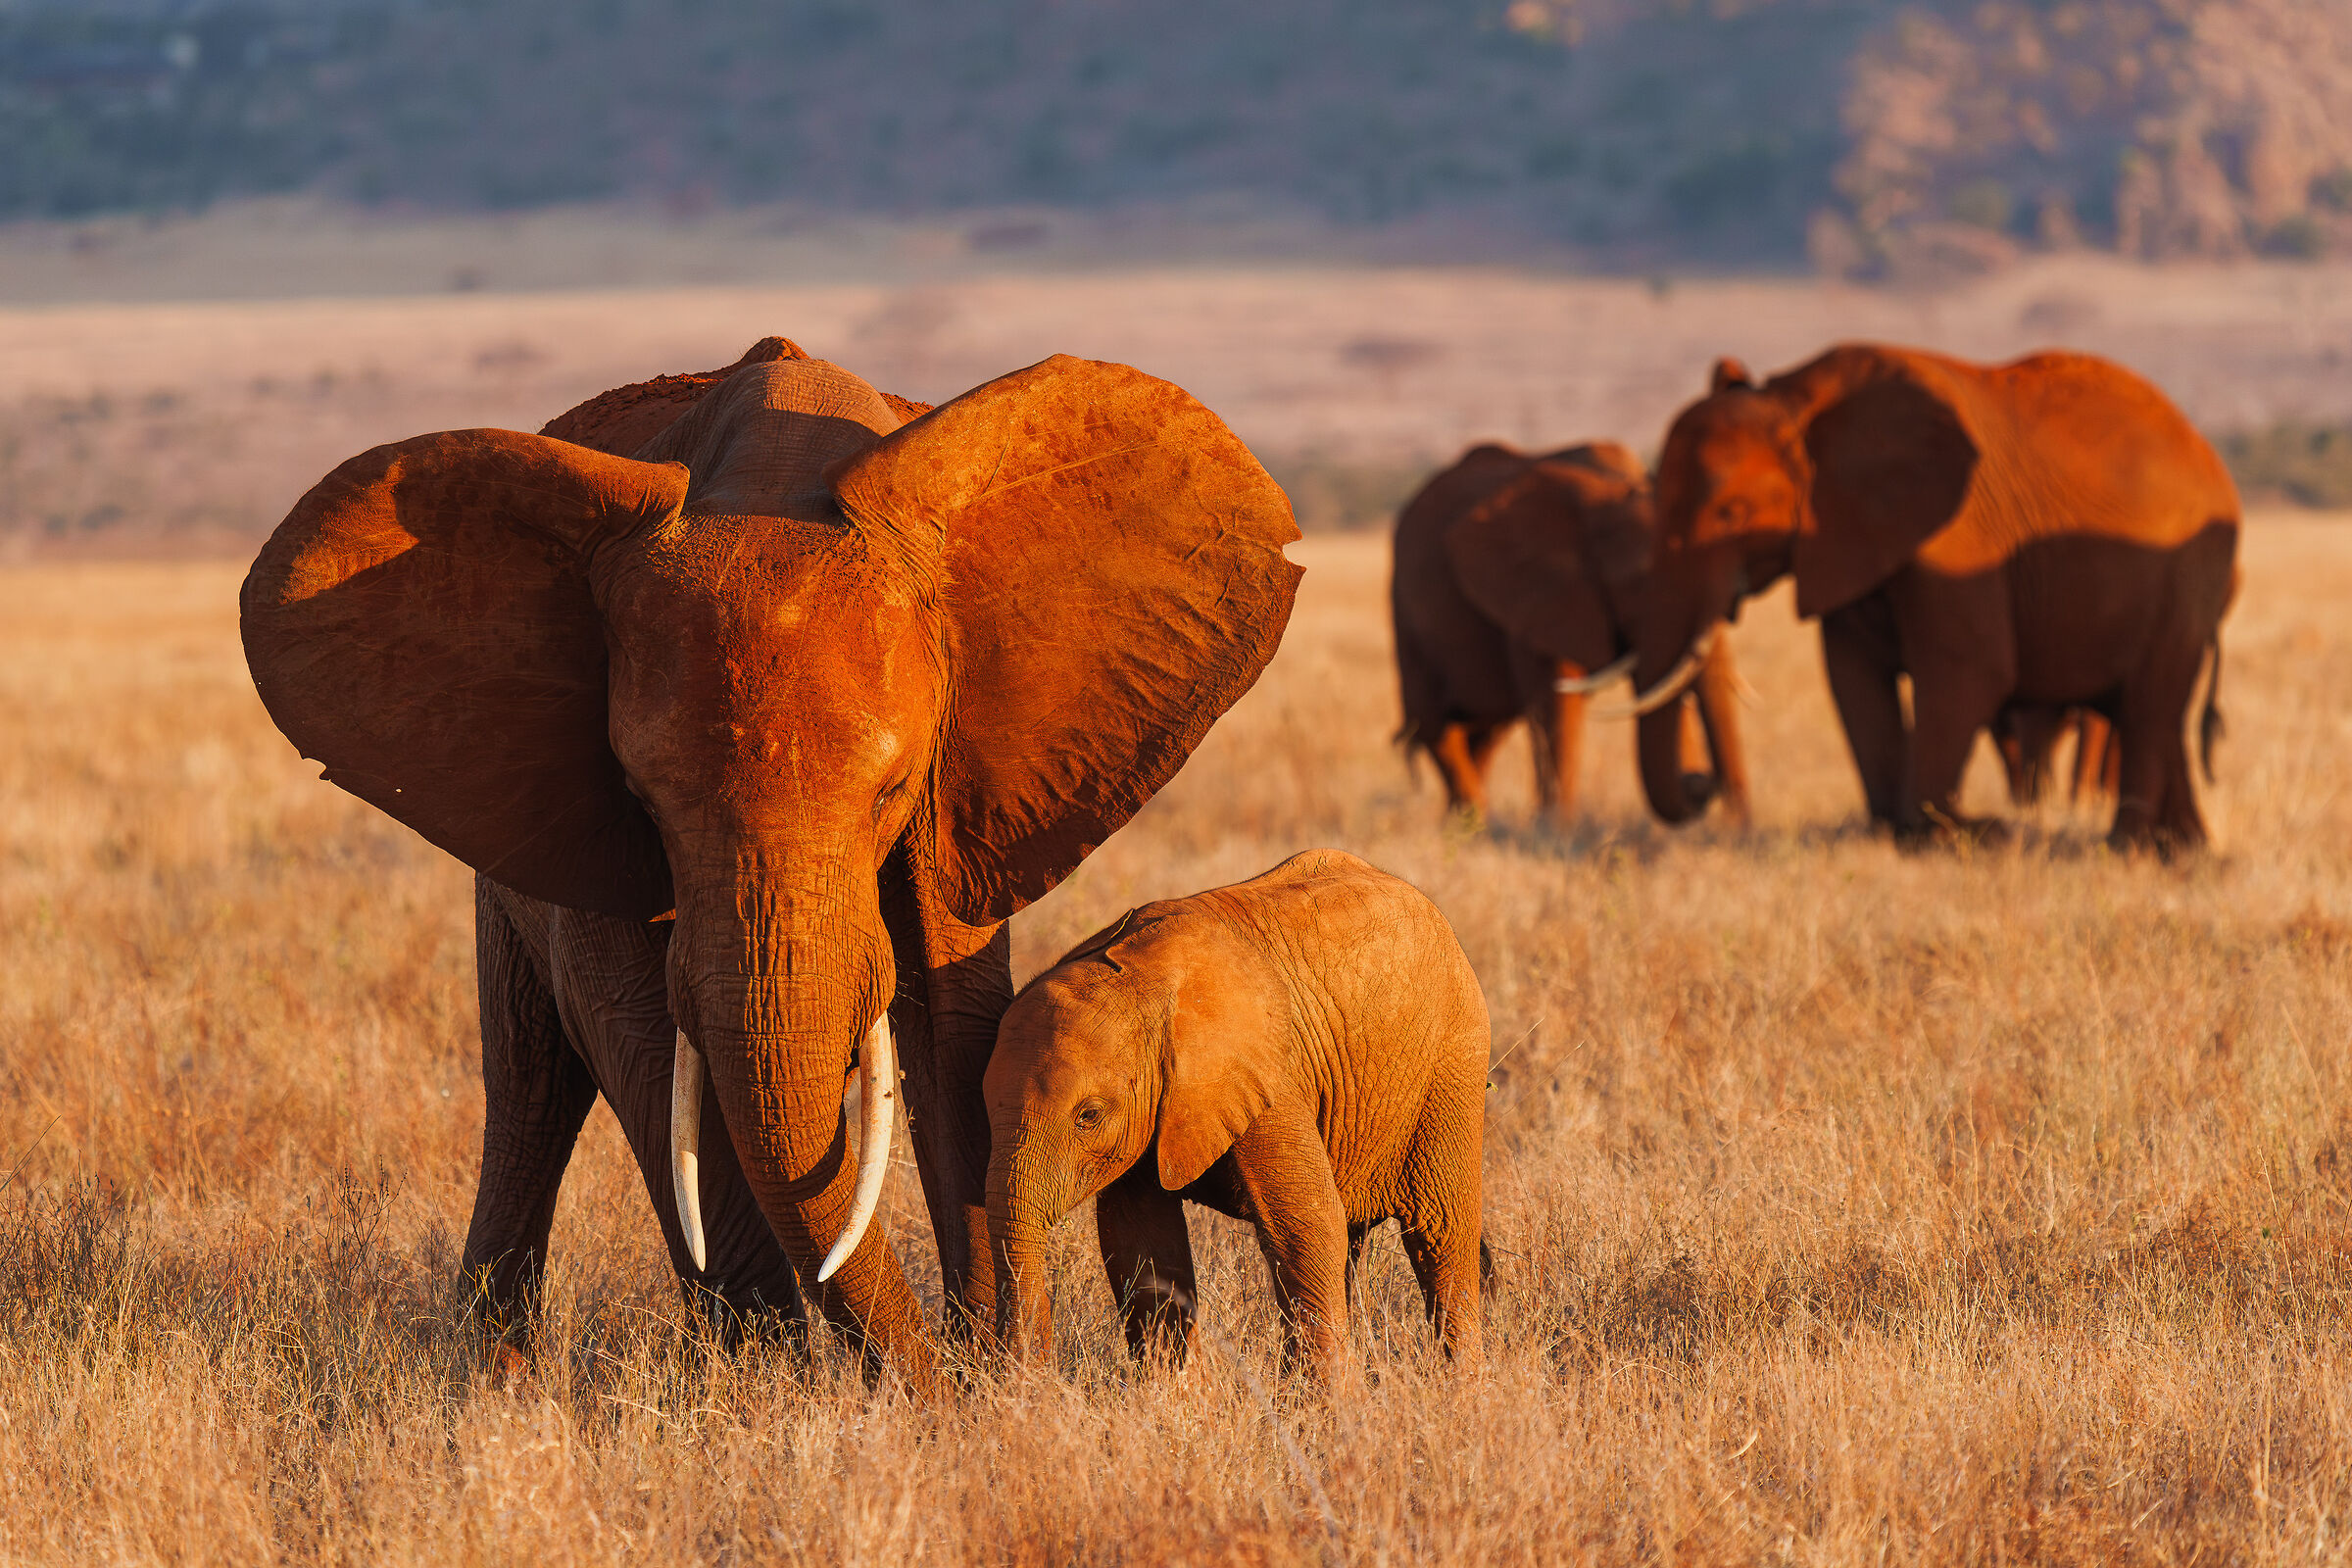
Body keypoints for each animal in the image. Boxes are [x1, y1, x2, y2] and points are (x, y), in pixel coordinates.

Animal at [242, 336, 1304, 1389]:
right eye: (642, 798)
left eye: (893, 790)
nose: (945, 1380)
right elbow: (640, 1034)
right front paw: (776, 1389)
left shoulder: (967, 786)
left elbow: (951, 1019)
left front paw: (987, 1375)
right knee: (532, 1085)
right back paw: (497, 1377)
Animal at [984, 849, 1489, 1378]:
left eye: (1089, 1115)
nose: (1026, 1372)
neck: (1135, 978)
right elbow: (1139, 1241)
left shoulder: (1268, 1074)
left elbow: (1306, 1225)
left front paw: (1328, 1400)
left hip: (1453, 1063)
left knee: (1441, 1231)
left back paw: (1465, 1385)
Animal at [1390, 441, 1749, 829]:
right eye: (1642, 582)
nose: (1699, 780)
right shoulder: (1540, 595)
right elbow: (1556, 700)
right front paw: (1554, 830)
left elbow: (1654, 688)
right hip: (1406, 613)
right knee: (1436, 727)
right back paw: (1469, 823)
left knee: (1485, 734)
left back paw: (1465, 825)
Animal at [1625, 345, 2236, 848]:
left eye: (1730, 513)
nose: (1698, 782)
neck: (1796, 402)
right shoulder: (1848, 539)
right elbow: (1852, 678)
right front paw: (1891, 828)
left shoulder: (1958, 535)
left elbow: (1970, 670)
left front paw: (1959, 832)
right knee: (2149, 710)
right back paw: (2183, 848)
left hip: (2188, 578)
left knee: (2150, 702)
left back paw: (2127, 847)